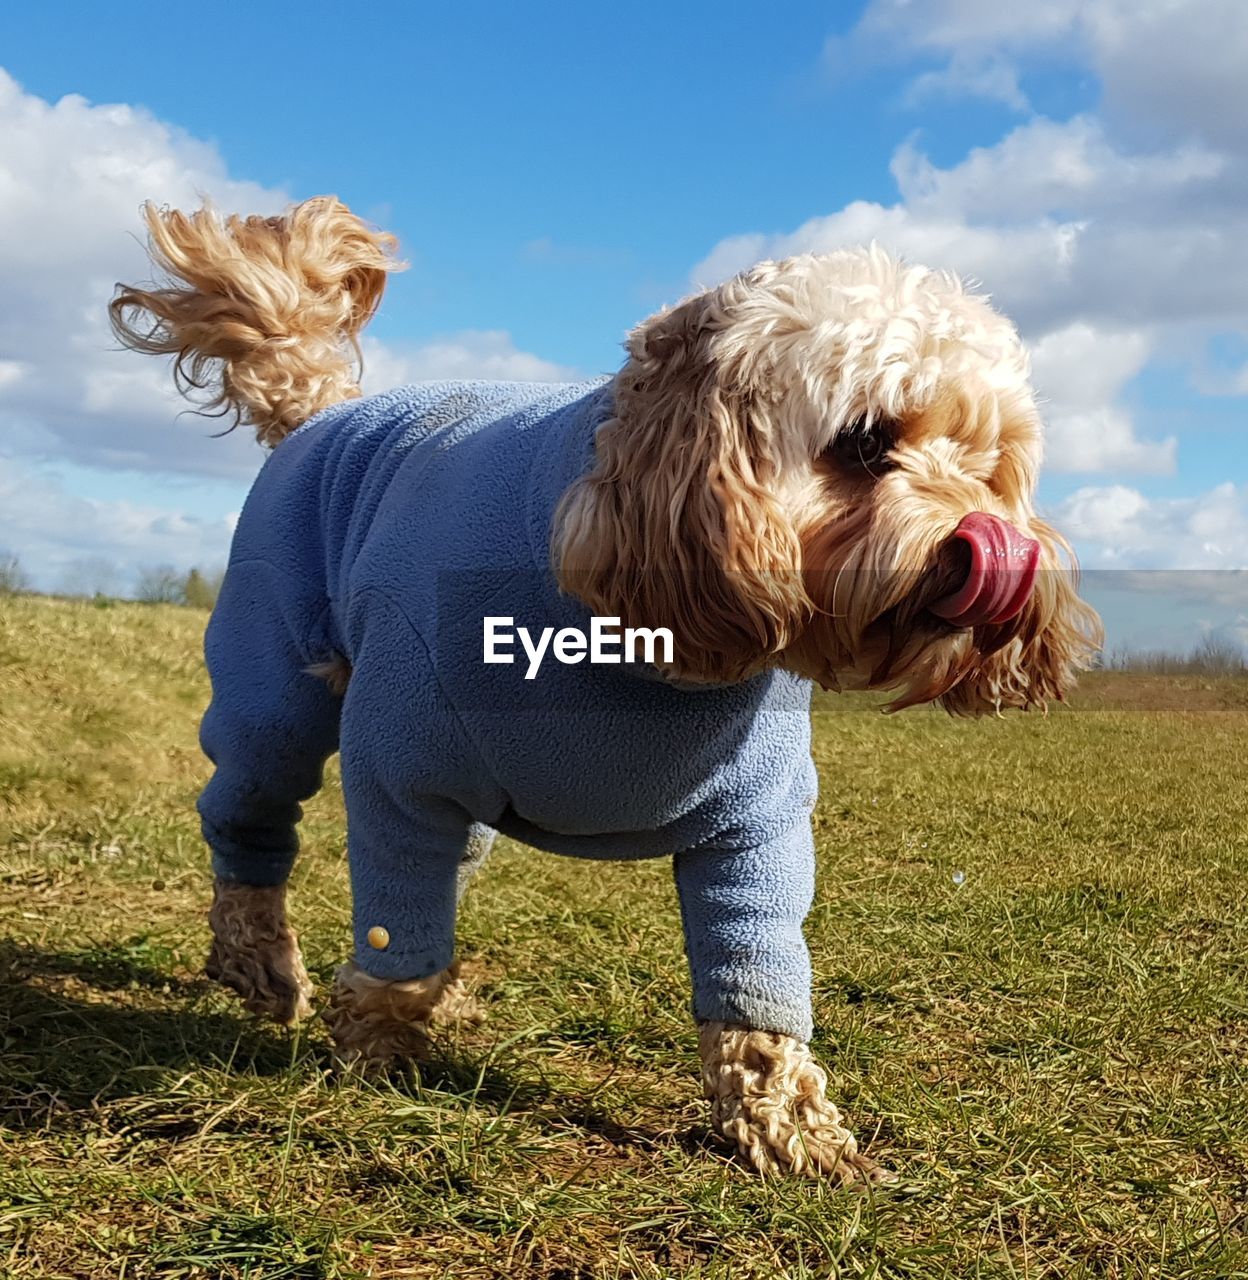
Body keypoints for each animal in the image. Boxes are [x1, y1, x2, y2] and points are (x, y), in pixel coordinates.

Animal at [110, 194, 1100, 1182]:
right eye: (863, 442)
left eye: (991, 464)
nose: (997, 545)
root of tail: (327, 408)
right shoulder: (402, 773)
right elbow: (395, 927)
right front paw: (378, 1046)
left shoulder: (758, 826)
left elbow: (755, 985)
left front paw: (790, 1125)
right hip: (273, 693)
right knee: (248, 818)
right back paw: (264, 966)